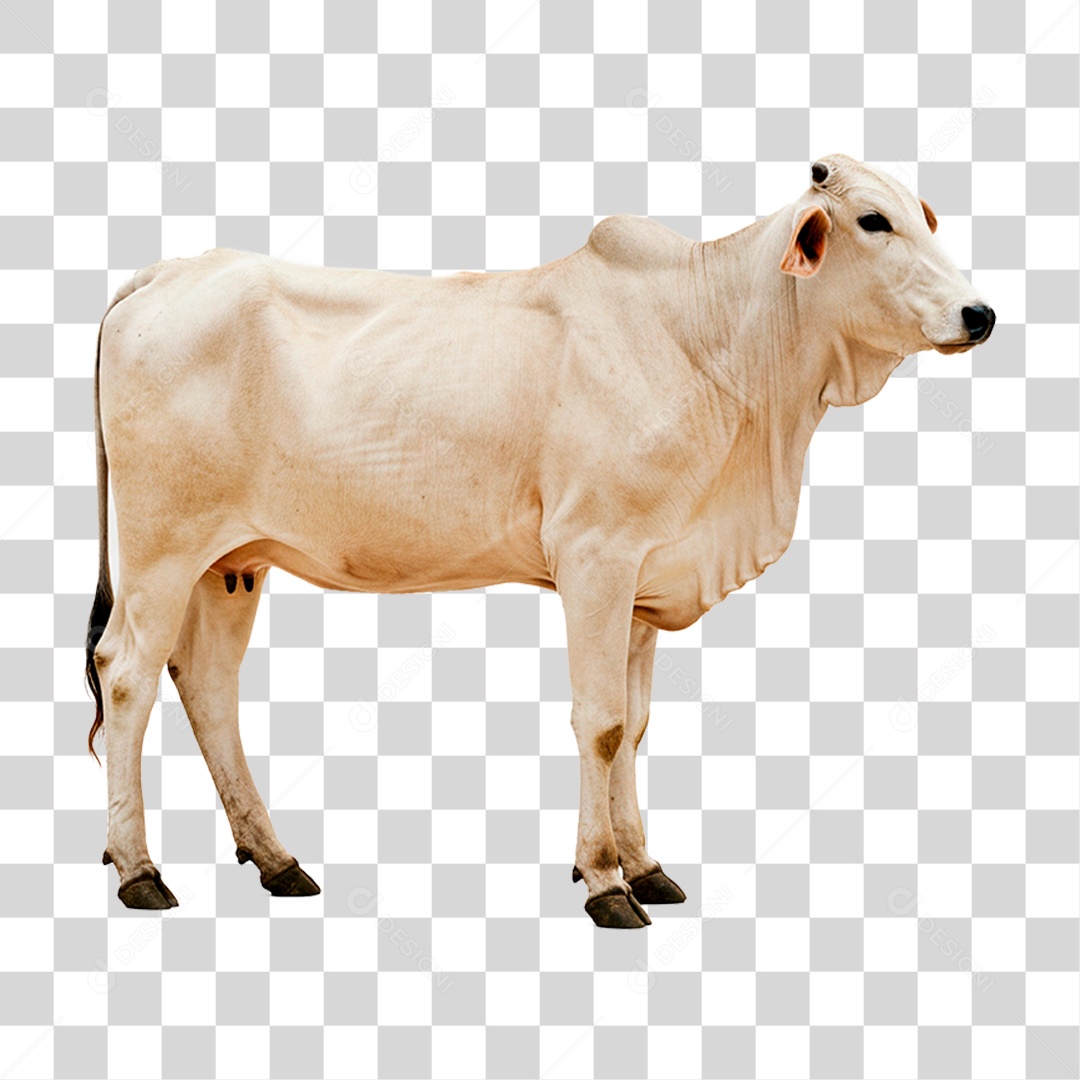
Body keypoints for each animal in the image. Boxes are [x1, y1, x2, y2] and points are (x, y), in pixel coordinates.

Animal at [86, 154, 994, 927]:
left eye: (925, 216)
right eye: (873, 220)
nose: (980, 314)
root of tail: (170, 271)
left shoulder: (644, 577)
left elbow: (634, 724)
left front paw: (645, 866)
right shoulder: (597, 554)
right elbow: (599, 722)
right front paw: (603, 880)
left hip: (230, 561)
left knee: (208, 685)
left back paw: (275, 859)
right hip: (161, 549)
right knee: (126, 676)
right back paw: (139, 870)